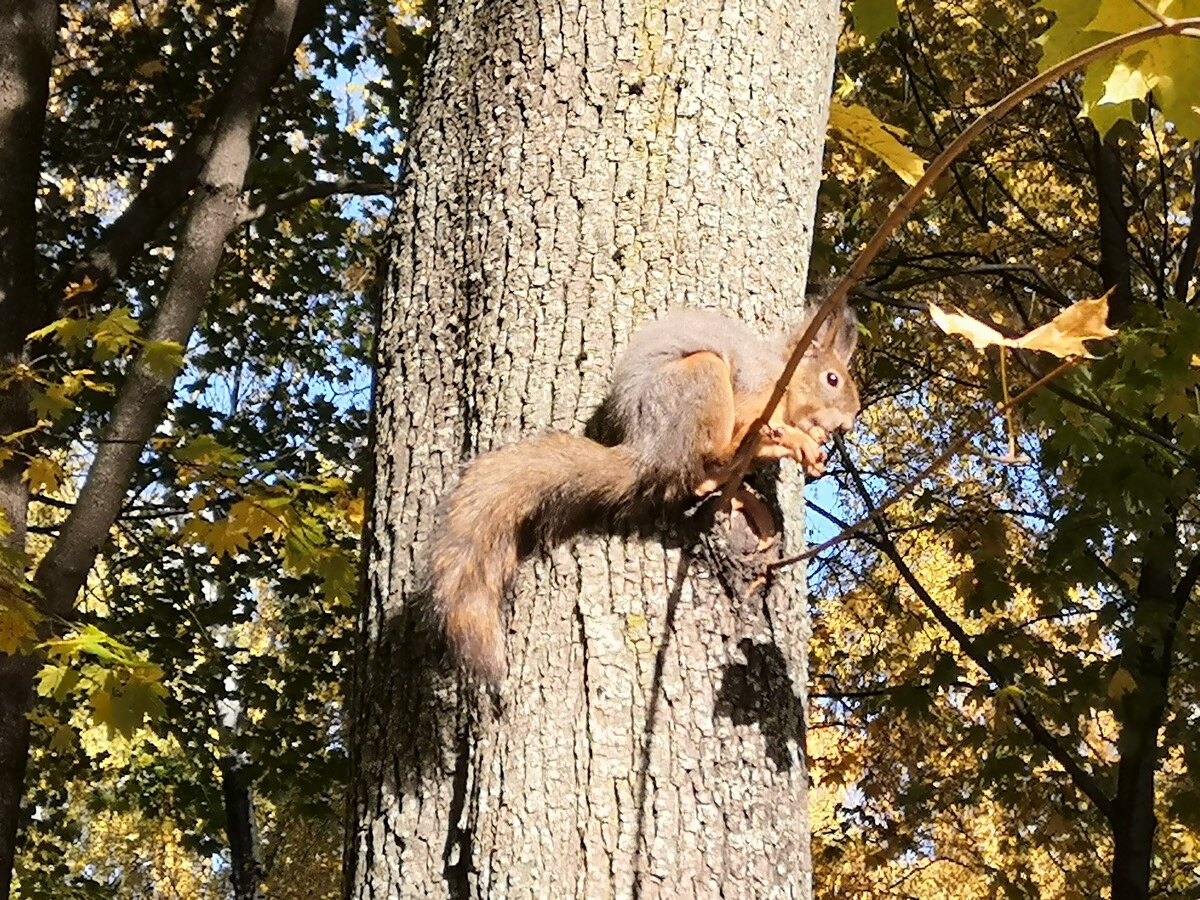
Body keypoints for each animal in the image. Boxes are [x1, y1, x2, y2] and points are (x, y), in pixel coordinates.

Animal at [432, 303, 864, 681]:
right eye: (832, 379)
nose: (845, 425)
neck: (782, 378)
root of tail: (650, 452)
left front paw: (807, 445)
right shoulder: (754, 391)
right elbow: (754, 421)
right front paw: (795, 438)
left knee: (700, 477)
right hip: (701, 379)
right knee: (714, 453)